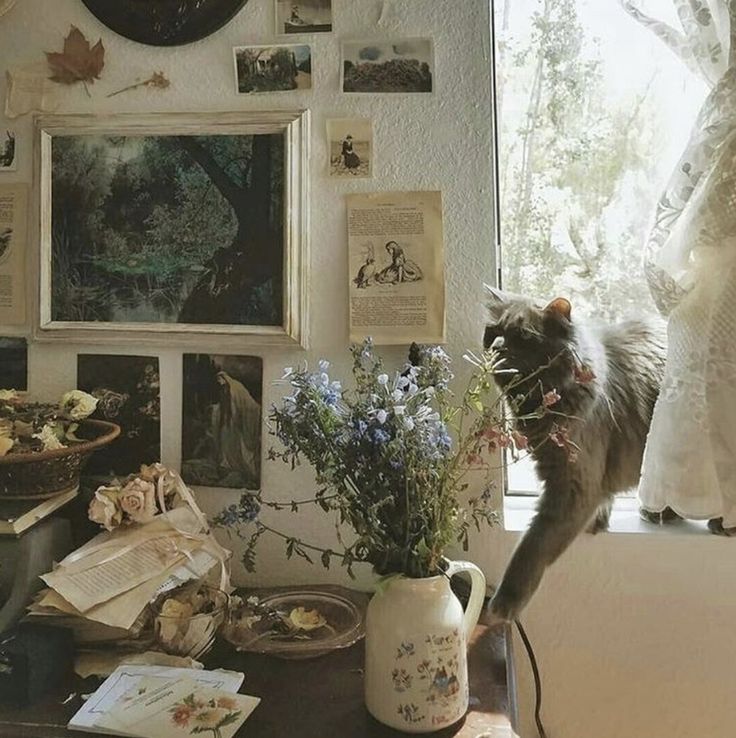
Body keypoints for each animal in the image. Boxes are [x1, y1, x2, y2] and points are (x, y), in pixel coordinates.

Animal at [484, 288, 668, 620]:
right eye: (492, 331)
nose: (496, 346)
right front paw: (599, 522)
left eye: (522, 335)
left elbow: (533, 545)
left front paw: (504, 603)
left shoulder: (573, 485)